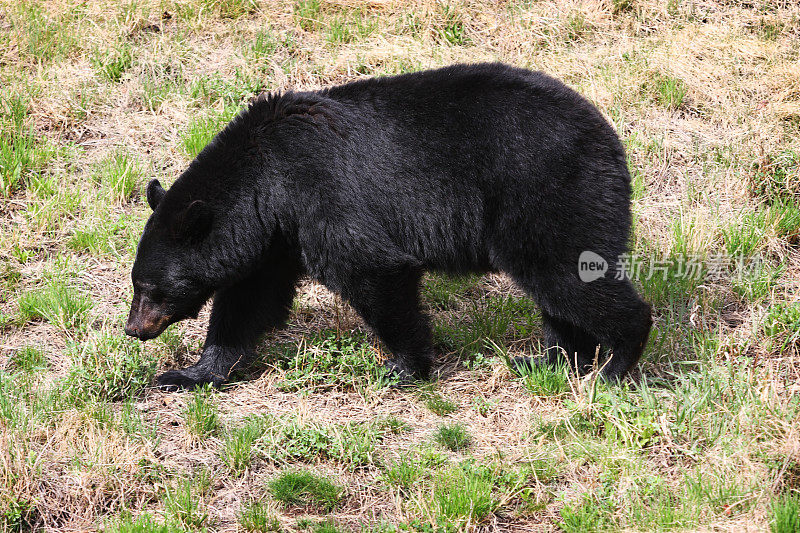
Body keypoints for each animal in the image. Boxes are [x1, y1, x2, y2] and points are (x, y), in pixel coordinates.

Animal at [125, 62, 648, 388]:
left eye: (153, 288)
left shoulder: (319, 195)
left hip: (547, 192)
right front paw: (189, 374)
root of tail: (608, 136)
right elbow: (247, 303)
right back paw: (549, 361)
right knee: (556, 296)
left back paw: (615, 366)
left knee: (568, 277)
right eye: (138, 284)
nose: (134, 329)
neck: (264, 181)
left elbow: (374, 271)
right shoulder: (276, 240)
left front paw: (403, 367)